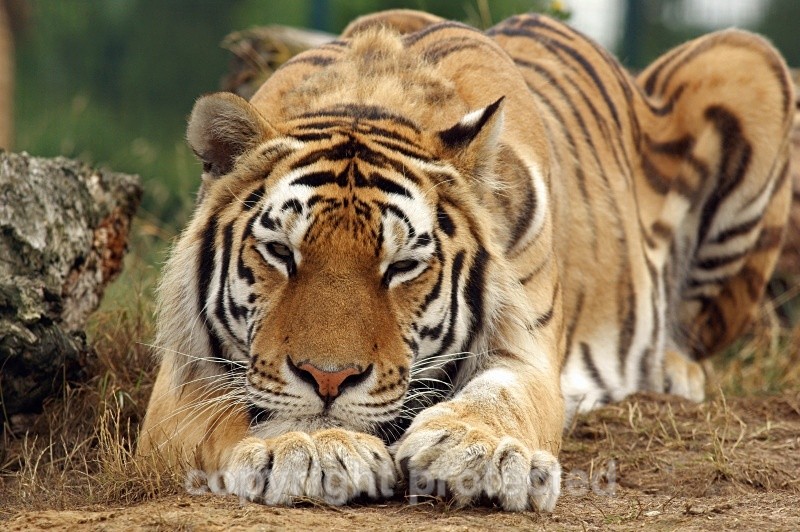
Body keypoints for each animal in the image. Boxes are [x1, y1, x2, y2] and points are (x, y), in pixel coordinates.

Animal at [138, 9, 794, 512]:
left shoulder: (528, 351)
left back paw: (671, 373)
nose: (328, 379)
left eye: (402, 266)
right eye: (280, 252)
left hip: (748, 58)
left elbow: (502, 396)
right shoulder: (180, 383)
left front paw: (477, 454)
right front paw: (310, 447)